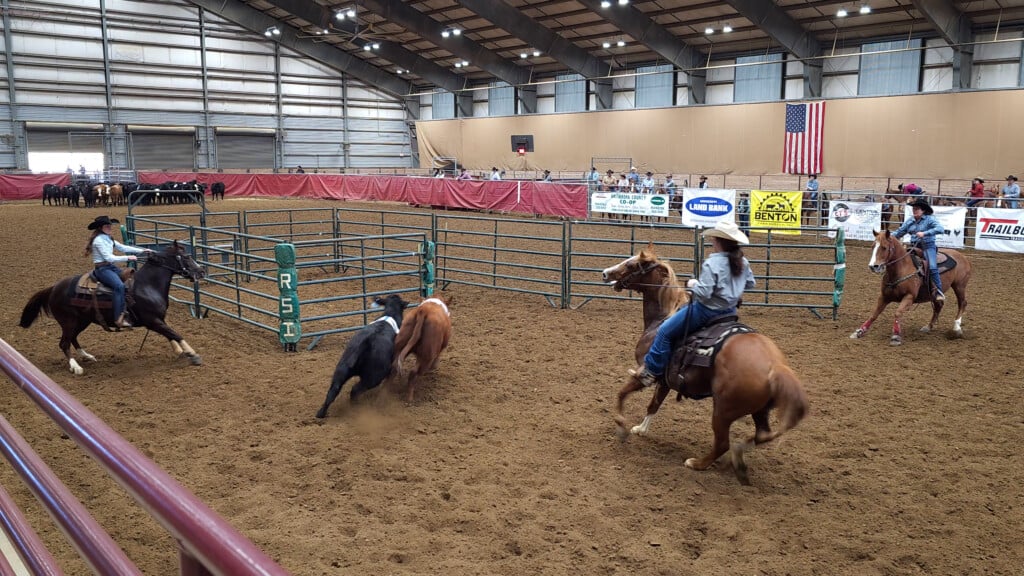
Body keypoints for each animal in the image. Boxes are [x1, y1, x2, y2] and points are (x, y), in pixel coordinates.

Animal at [18, 239, 205, 375]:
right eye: (186, 256)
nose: (201, 271)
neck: (147, 285)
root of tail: (54, 287)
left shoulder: (157, 321)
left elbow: (170, 334)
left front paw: (180, 351)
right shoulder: (152, 320)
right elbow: (175, 334)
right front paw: (193, 355)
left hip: (82, 321)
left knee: (73, 339)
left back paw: (87, 356)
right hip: (68, 321)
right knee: (64, 343)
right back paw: (76, 367)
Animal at [598, 241, 806, 483]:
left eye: (632, 265)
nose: (605, 273)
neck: (663, 317)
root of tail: (776, 367)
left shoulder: (648, 369)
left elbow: (622, 393)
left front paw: (622, 426)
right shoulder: (666, 380)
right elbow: (654, 404)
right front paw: (640, 429)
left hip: (723, 411)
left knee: (723, 442)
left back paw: (697, 463)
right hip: (759, 410)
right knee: (762, 435)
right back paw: (736, 457)